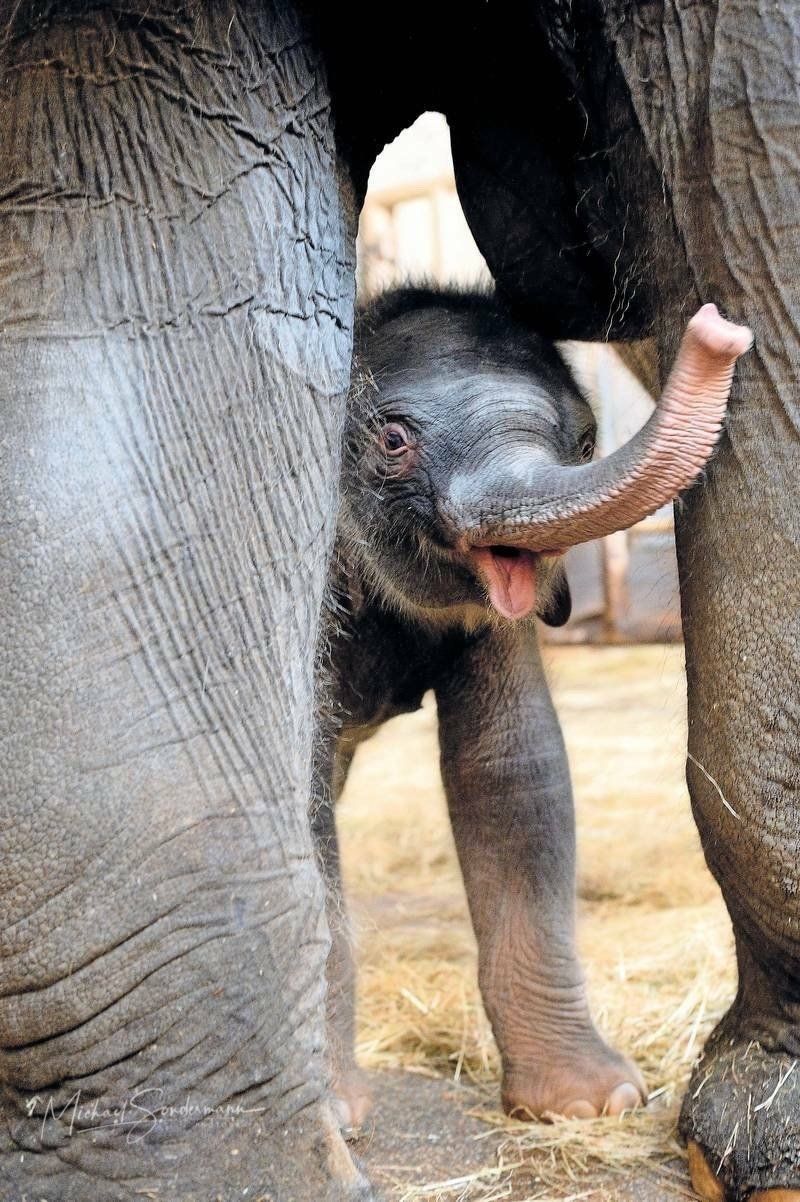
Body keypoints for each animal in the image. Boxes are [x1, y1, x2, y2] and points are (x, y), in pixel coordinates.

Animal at [317, 284, 748, 1132]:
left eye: (583, 439)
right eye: (392, 440)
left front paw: (592, 1102)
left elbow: (511, 769)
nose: (722, 329)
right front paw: (335, 1114)